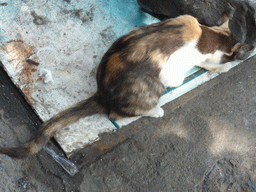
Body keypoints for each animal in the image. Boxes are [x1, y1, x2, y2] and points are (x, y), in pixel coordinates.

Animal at [0, 13, 244, 158]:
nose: (237, 57)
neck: (206, 36)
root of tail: (101, 95)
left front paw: (218, 66)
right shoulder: (171, 73)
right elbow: (189, 72)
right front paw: (221, 66)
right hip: (149, 86)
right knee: (117, 114)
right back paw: (155, 110)